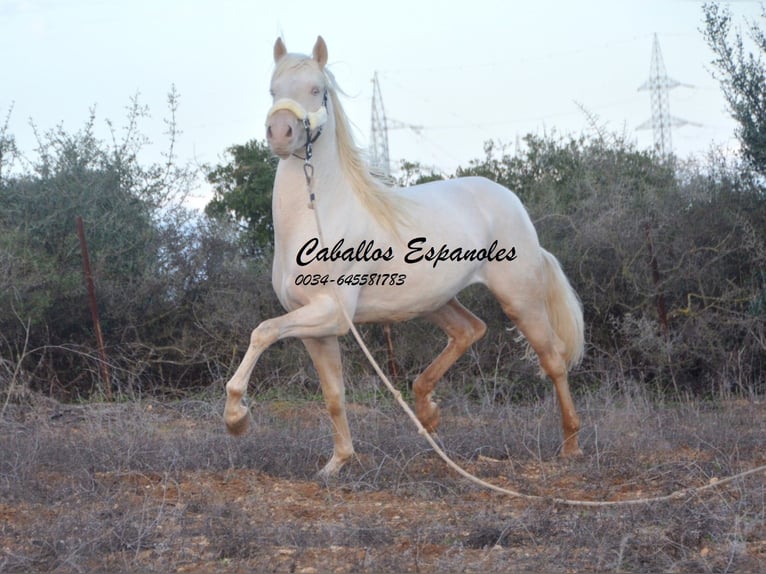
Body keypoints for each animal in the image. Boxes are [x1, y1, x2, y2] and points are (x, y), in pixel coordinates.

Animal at [225, 35, 584, 476]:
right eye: (273, 91)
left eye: (316, 89)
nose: (280, 132)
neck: (318, 217)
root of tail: (509, 199)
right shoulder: (315, 327)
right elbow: (333, 395)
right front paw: (336, 464)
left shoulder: (332, 314)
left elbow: (262, 332)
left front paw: (237, 419)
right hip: (436, 300)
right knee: (469, 330)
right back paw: (427, 413)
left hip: (520, 298)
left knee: (553, 360)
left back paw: (570, 445)